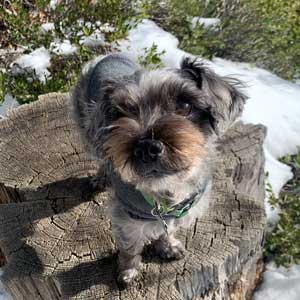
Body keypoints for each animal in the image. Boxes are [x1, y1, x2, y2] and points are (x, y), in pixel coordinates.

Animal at [71, 52, 247, 284]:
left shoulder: (178, 213)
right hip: (88, 129)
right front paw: (127, 272)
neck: (166, 190)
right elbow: (130, 247)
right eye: (120, 113)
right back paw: (100, 178)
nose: (146, 147)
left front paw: (168, 247)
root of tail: (107, 55)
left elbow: (167, 230)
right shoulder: (126, 218)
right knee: (99, 155)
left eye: (185, 105)